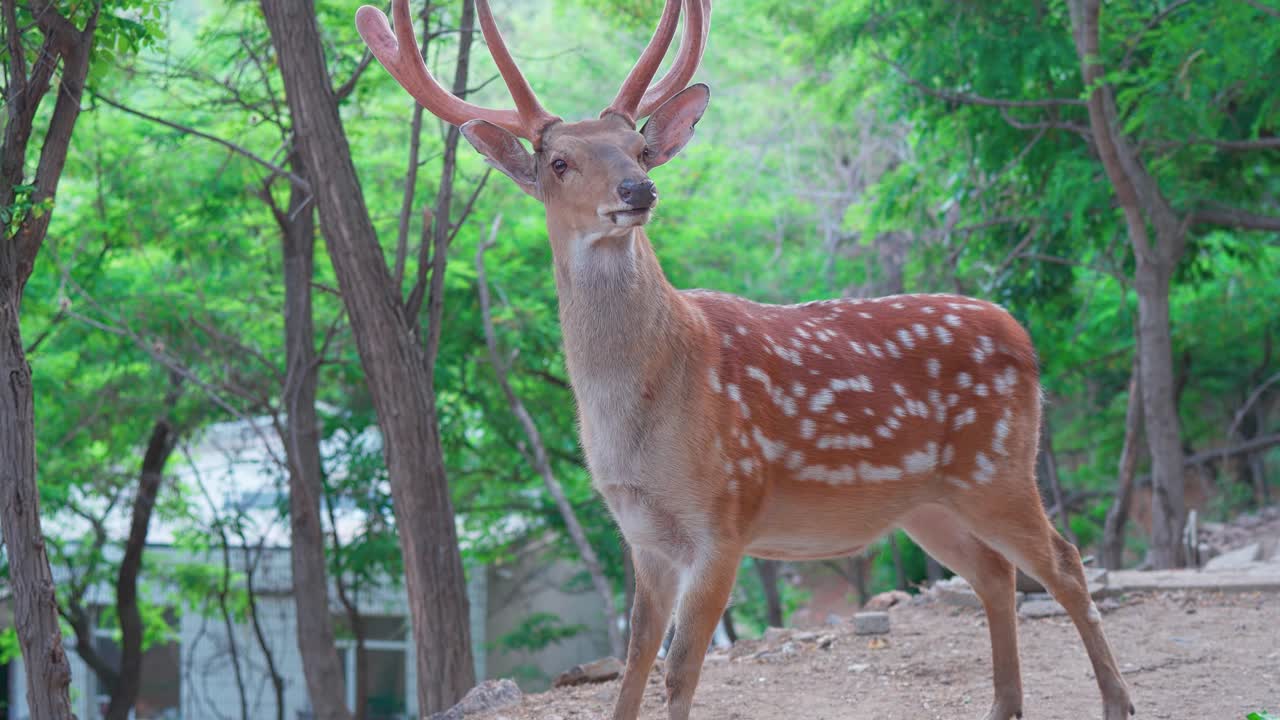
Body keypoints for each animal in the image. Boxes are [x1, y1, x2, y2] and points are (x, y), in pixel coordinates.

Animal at [355, 1, 1136, 717]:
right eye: (558, 161)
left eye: (639, 148)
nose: (638, 190)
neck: (643, 409)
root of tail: (1020, 333)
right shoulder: (643, 535)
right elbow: (633, 665)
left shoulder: (724, 515)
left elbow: (679, 672)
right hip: (928, 502)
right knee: (994, 574)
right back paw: (1007, 705)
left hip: (997, 466)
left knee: (1065, 564)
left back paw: (1116, 702)